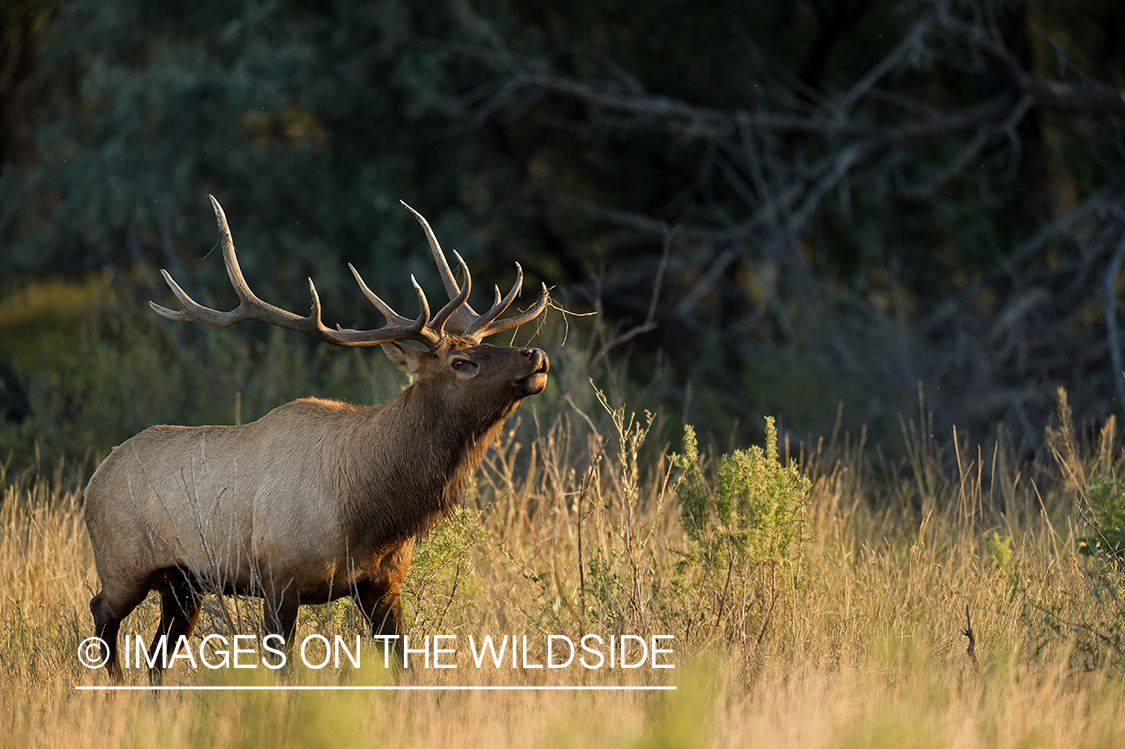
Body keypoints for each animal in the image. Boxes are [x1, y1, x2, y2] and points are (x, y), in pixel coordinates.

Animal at [83, 195, 549, 674]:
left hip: (183, 583)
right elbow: (286, 673)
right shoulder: (278, 579)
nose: (535, 354)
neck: (368, 515)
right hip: (123, 564)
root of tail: (95, 478)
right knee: (101, 612)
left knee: (157, 655)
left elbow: (406, 665)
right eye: (460, 363)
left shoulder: (383, 584)